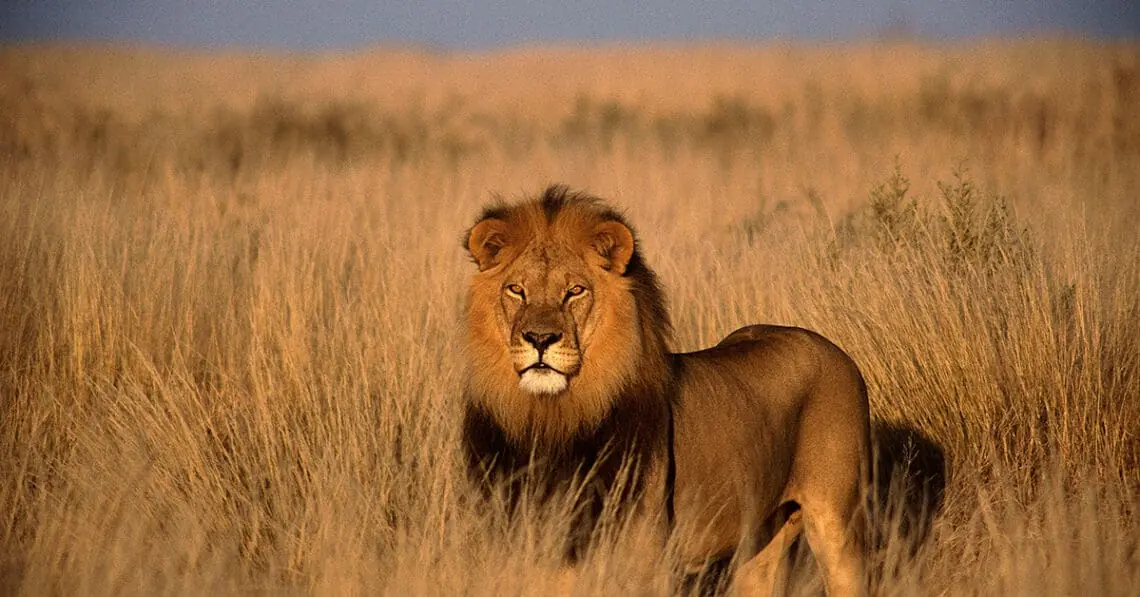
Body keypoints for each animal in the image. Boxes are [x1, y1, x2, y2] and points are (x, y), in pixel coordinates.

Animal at [461, 186, 870, 595]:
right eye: (516, 290)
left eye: (575, 291)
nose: (540, 339)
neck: (552, 420)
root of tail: (830, 347)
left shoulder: (644, 562)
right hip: (760, 542)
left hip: (837, 526)